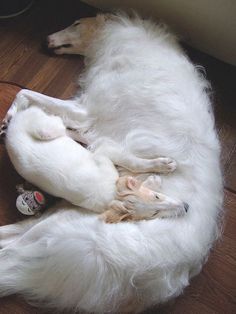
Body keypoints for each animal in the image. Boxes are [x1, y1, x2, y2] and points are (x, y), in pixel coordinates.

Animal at [5, 106, 188, 222]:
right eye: (154, 214)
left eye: (156, 197)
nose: (186, 207)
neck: (111, 193)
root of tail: (11, 127)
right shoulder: (105, 154)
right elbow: (133, 163)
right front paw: (162, 168)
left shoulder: (105, 155)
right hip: (44, 128)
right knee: (58, 123)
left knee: (67, 129)